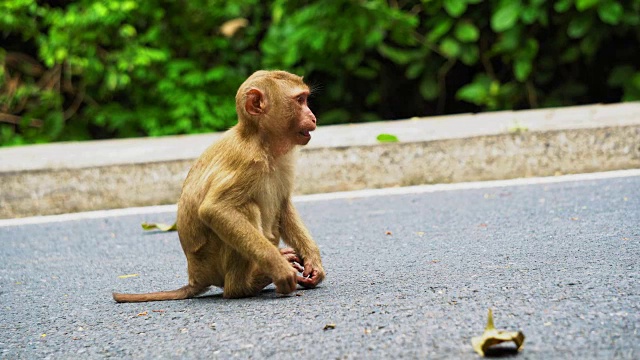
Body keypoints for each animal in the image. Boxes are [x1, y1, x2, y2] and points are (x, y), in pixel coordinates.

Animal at [110, 69, 328, 300]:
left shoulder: (285, 161)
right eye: (300, 100)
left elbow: (284, 205)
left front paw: (314, 263)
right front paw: (280, 269)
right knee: (245, 208)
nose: (313, 117)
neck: (262, 141)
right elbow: (215, 209)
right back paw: (244, 285)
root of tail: (195, 277)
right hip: (211, 260)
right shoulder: (246, 161)